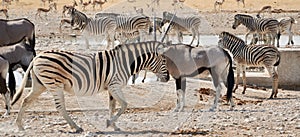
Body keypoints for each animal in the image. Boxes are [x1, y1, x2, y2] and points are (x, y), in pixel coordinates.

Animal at [11, 41, 169, 133]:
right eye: (164, 61)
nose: (168, 78)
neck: (125, 62)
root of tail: (37, 57)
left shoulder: (111, 87)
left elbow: (112, 106)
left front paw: (114, 125)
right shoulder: (115, 84)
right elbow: (124, 105)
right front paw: (109, 123)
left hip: (40, 85)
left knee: (26, 100)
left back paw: (19, 125)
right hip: (54, 84)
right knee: (60, 106)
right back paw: (76, 127)